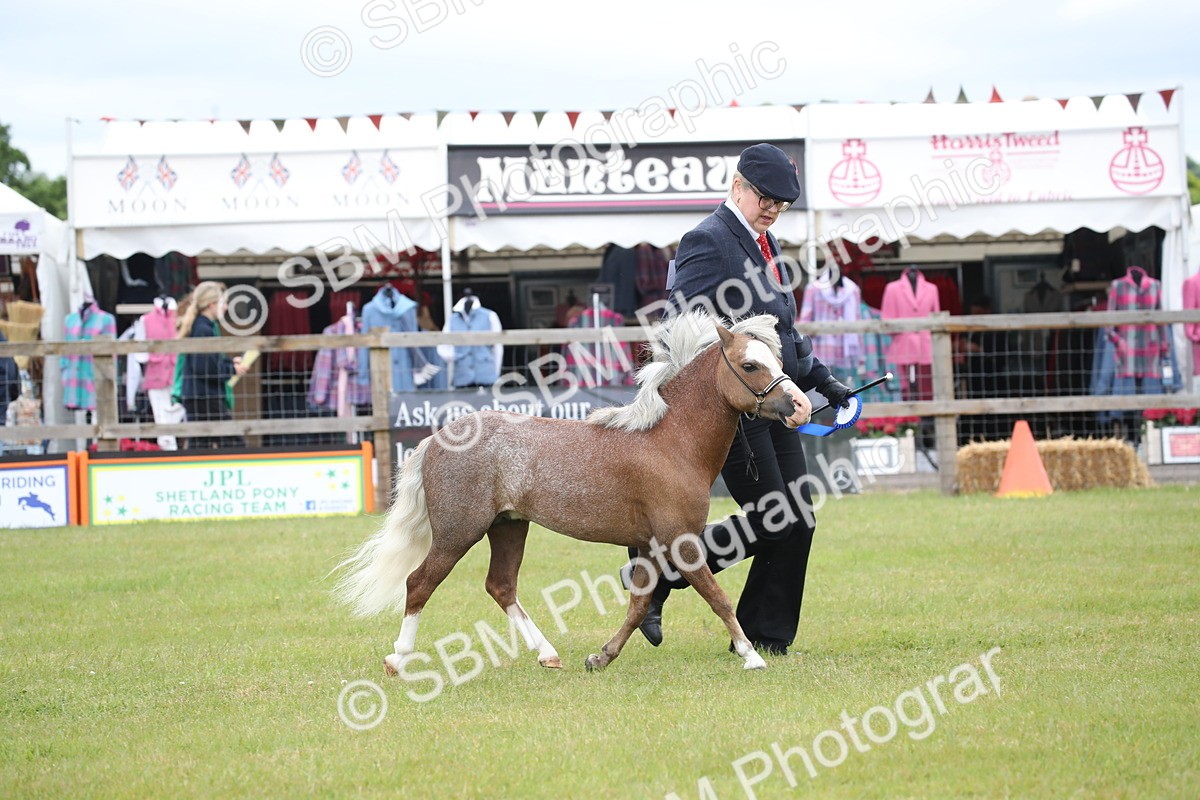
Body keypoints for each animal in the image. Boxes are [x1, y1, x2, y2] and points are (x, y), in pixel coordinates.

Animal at [335, 310, 806, 673]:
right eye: (750, 365)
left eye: (776, 357)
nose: (799, 406)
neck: (670, 440)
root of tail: (436, 440)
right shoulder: (681, 541)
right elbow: (717, 597)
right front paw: (751, 656)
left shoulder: (653, 544)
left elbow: (639, 605)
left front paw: (601, 657)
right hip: (458, 531)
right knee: (420, 583)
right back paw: (398, 659)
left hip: (508, 526)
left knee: (500, 586)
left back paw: (548, 654)